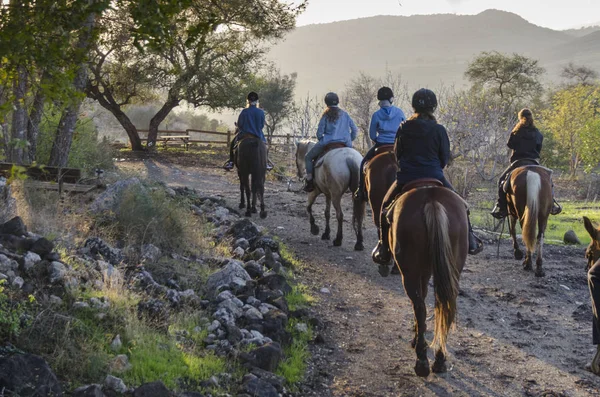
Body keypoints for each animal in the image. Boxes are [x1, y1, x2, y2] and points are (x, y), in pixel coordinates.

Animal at [384, 181, 468, 376]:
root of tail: (432, 201)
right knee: (445, 306)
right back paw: (439, 359)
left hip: (410, 273)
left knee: (419, 307)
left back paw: (421, 360)